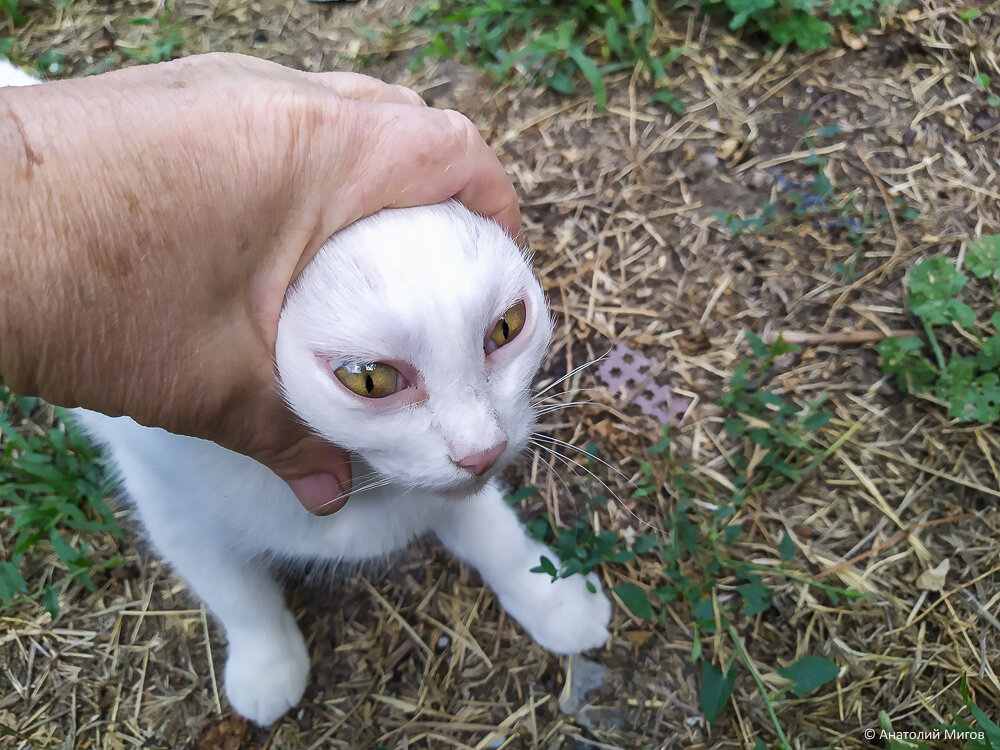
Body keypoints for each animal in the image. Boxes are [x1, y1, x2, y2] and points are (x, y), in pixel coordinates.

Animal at [0, 58, 612, 728]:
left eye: (506, 327)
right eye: (368, 378)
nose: (482, 451)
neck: (364, 492)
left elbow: (495, 534)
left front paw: (551, 599)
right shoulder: (171, 505)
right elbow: (235, 591)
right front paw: (265, 663)